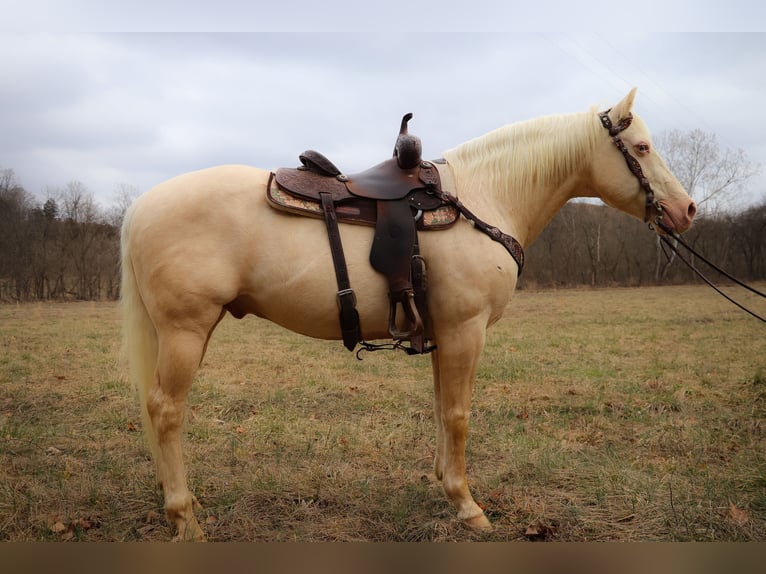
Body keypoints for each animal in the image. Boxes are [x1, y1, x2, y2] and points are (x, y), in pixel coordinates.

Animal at [121, 88, 704, 544]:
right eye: (642, 147)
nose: (687, 211)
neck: (484, 198)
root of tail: (142, 206)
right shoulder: (466, 331)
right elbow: (459, 415)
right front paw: (468, 507)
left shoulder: (444, 335)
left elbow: (442, 409)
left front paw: (445, 484)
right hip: (186, 330)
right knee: (166, 411)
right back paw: (185, 519)